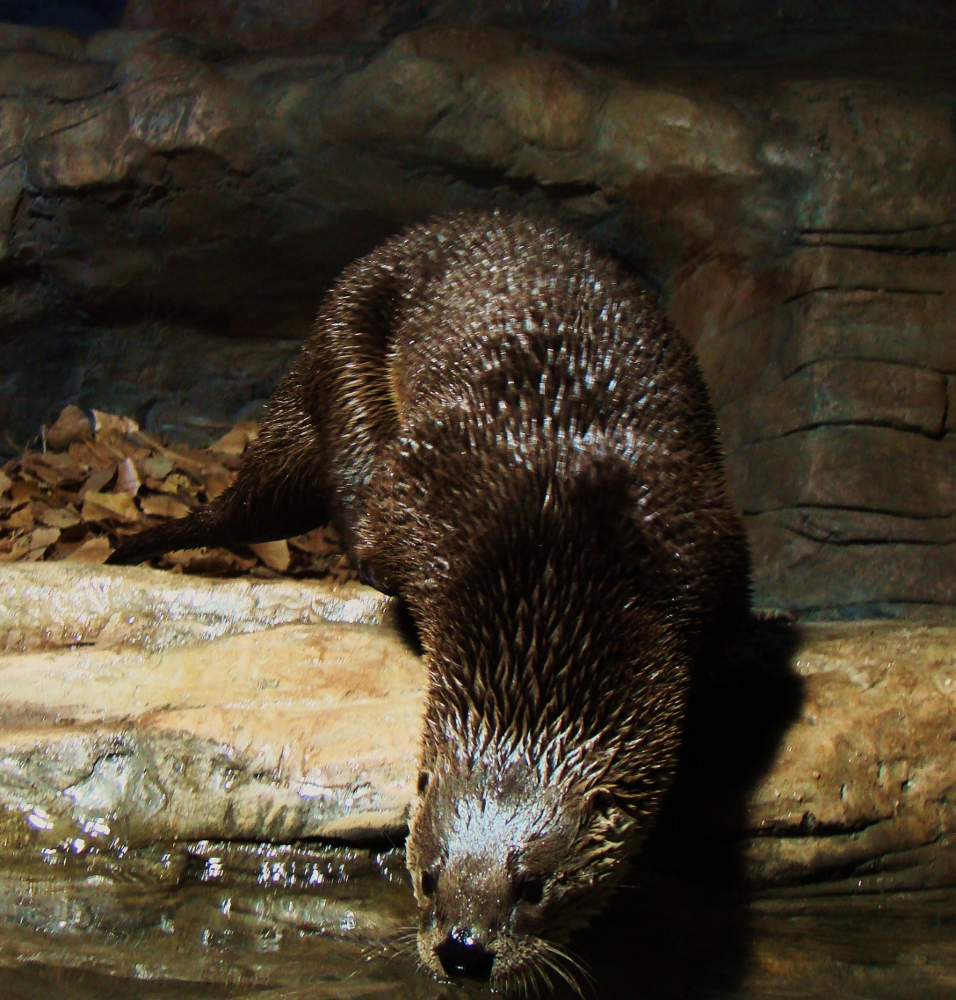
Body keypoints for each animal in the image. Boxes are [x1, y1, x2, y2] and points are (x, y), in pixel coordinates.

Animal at [108, 213, 750, 994]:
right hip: (349, 339)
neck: (558, 540)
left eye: (533, 885)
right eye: (427, 877)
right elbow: (379, 516)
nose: (465, 949)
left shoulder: (703, 551)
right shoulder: (423, 497)